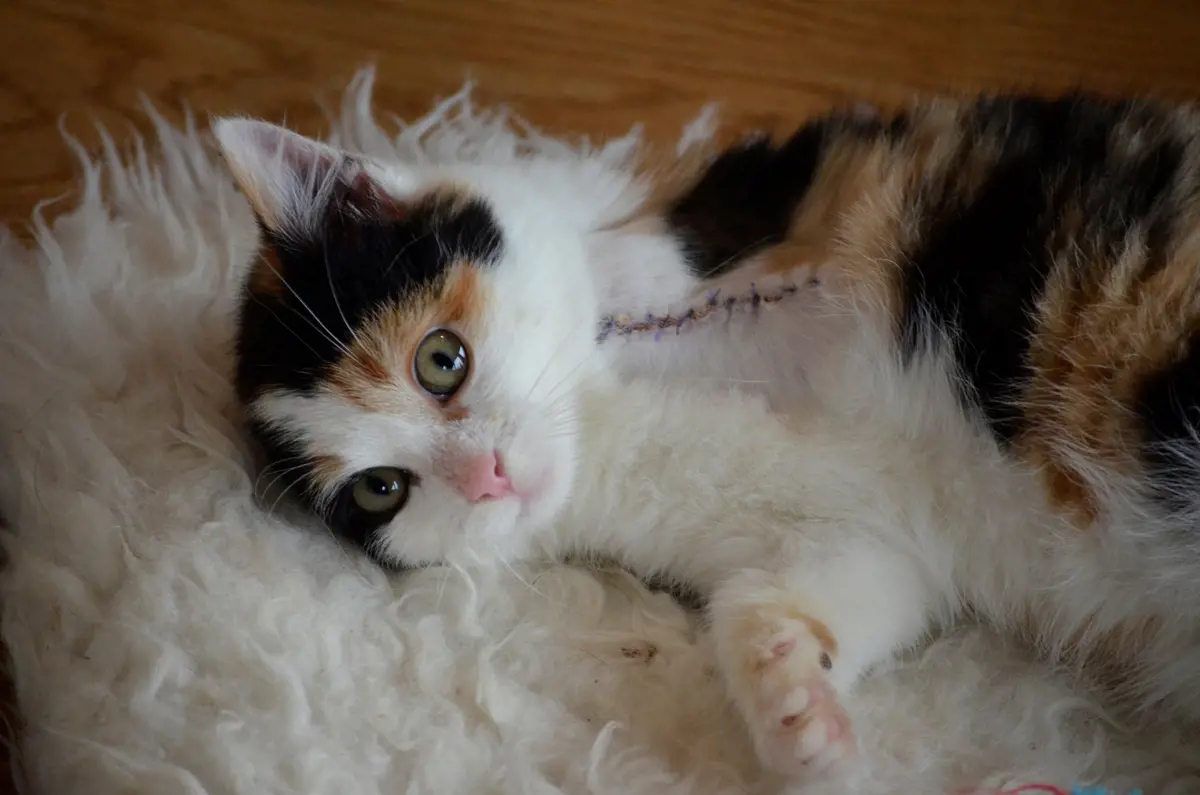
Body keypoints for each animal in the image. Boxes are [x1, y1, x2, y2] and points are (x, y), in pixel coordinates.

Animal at [213, 94, 1200, 782]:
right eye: (381, 489)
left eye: (440, 360)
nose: (486, 476)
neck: (602, 411)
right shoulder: (867, 527)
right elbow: (836, 582)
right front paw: (796, 708)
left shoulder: (769, 202)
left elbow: (674, 250)